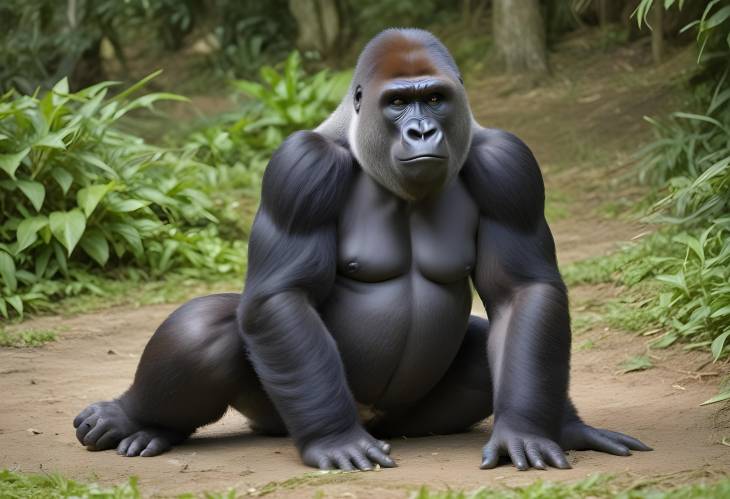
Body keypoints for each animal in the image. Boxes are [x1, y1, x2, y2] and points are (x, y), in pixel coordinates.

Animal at [75, 28, 648, 472]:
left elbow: (522, 291)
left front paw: (527, 429)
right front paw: (333, 438)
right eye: (396, 102)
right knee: (205, 329)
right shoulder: (300, 167)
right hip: (277, 414)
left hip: (412, 420)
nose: (422, 130)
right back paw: (135, 419)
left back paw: (567, 425)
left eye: (434, 98)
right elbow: (281, 295)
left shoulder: (509, 165)